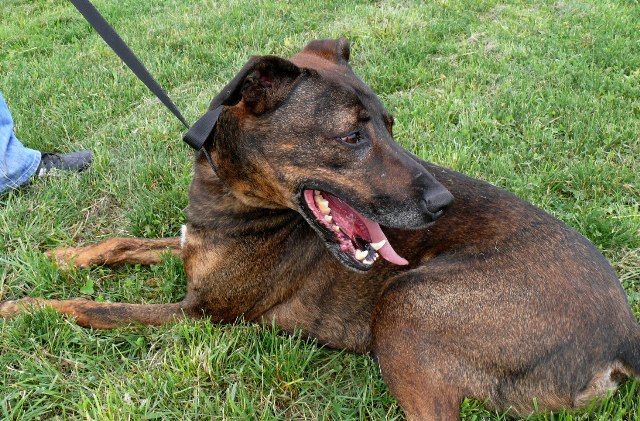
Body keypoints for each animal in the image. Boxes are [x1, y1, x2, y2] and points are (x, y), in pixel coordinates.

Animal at [2, 38, 638, 420]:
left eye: (389, 125)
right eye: (353, 135)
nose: (441, 203)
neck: (234, 198)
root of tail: (622, 337)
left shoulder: (199, 315)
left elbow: (86, 307)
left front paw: (21, 306)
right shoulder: (188, 250)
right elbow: (121, 243)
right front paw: (61, 256)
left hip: (407, 305)